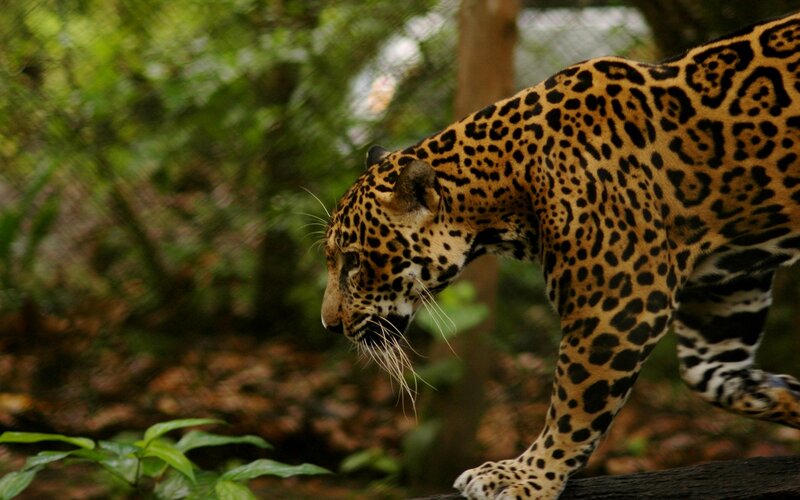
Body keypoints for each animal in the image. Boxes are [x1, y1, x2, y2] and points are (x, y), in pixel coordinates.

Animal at [320, 11, 800, 499]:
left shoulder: (619, 307)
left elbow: (575, 408)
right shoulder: (727, 287)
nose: (330, 325)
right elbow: (716, 377)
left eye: (354, 260)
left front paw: (525, 476)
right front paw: (787, 395)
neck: (506, 182)